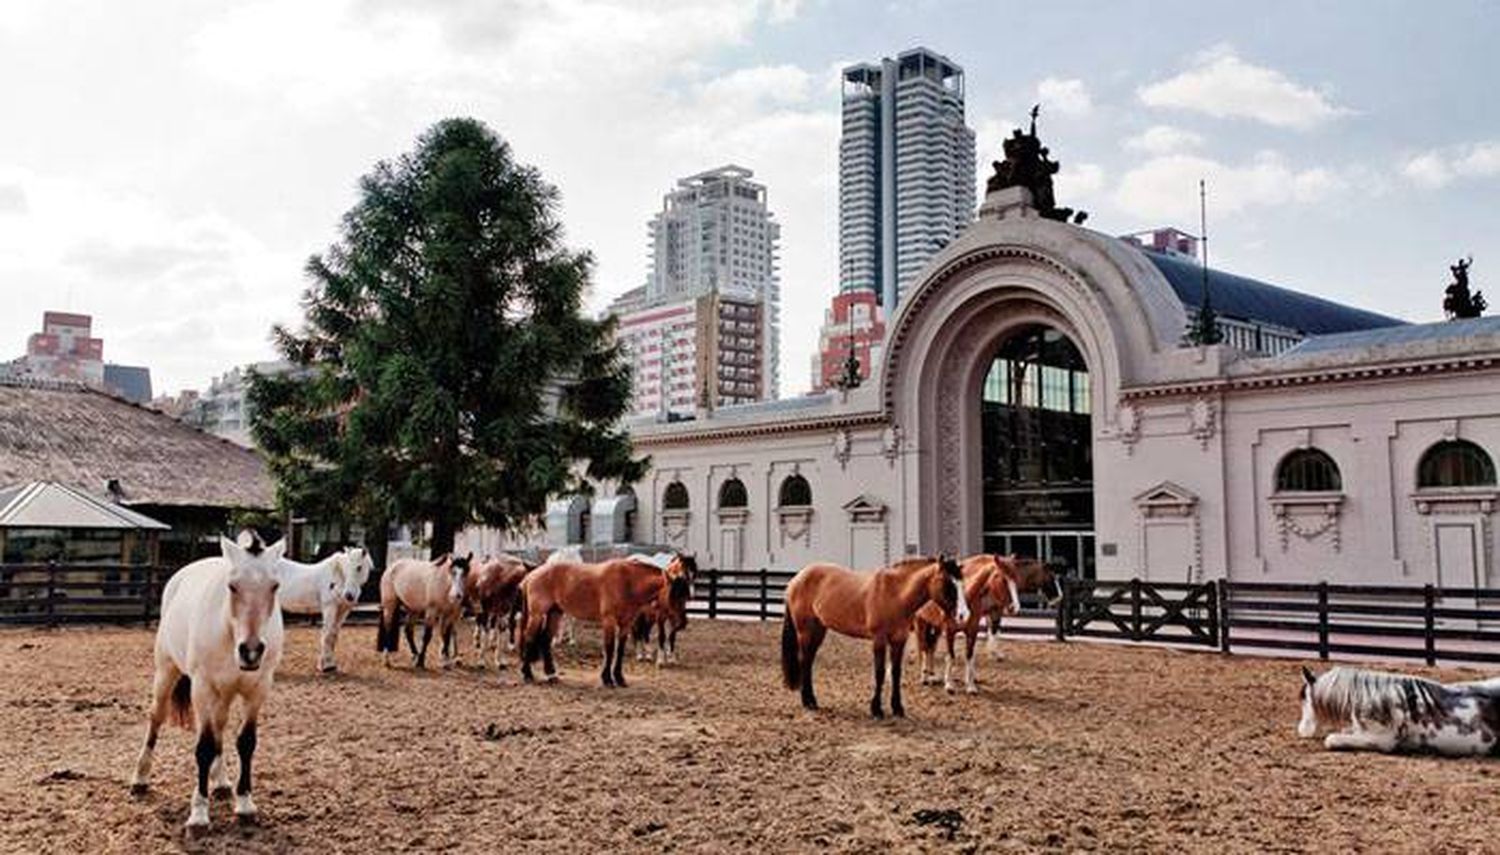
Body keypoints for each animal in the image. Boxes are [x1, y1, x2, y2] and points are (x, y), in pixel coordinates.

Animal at [522, 552, 696, 687]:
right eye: (673, 595)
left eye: (685, 596)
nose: (682, 623)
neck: (627, 582)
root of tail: (531, 575)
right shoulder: (609, 621)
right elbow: (610, 648)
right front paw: (607, 679)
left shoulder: (626, 624)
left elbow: (620, 650)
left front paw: (619, 678)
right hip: (537, 615)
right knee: (529, 638)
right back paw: (527, 675)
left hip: (555, 613)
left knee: (545, 642)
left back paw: (551, 675)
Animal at [780, 555, 966, 717]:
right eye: (948, 584)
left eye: (961, 584)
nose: (963, 615)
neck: (895, 594)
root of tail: (796, 579)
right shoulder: (879, 639)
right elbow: (880, 672)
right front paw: (876, 709)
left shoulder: (899, 640)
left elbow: (896, 673)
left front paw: (898, 708)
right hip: (805, 631)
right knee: (804, 661)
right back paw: (807, 701)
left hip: (818, 630)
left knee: (809, 661)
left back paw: (812, 701)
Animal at [906, 552, 1026, 693]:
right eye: (1003, 579)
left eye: (1015, 578)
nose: (1015, 607)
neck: (966, 597)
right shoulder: (950, 631)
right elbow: (951, 656)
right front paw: (949, 685)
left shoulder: (972, 631)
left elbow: (969, 655)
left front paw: (970, 686)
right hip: (921, 623)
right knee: (924, 648)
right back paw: (924, 678)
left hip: (935, 627)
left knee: (931, 648)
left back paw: (933, 676)